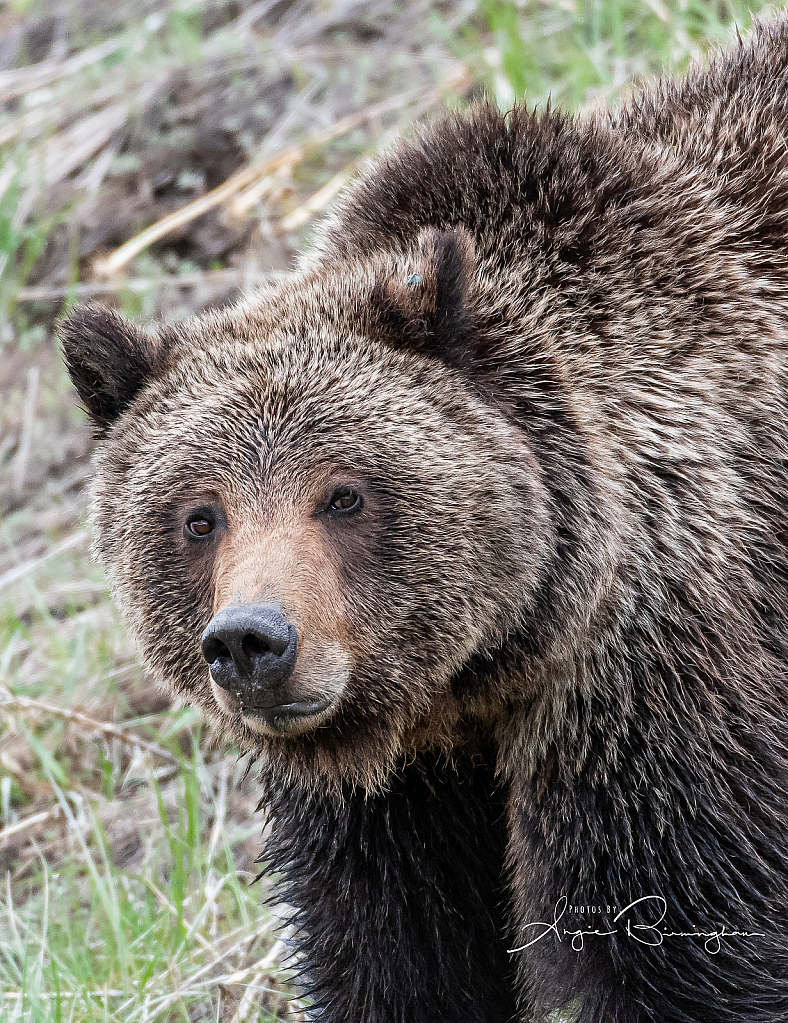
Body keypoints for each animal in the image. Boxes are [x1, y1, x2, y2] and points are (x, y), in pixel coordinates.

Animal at [61, 14, 785, 1023]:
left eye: (344, 493)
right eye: (199, 516)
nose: (251, 640)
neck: (471, 679)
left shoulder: (651, 679)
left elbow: (676, 937)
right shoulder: (391, 799)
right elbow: (401, 957)